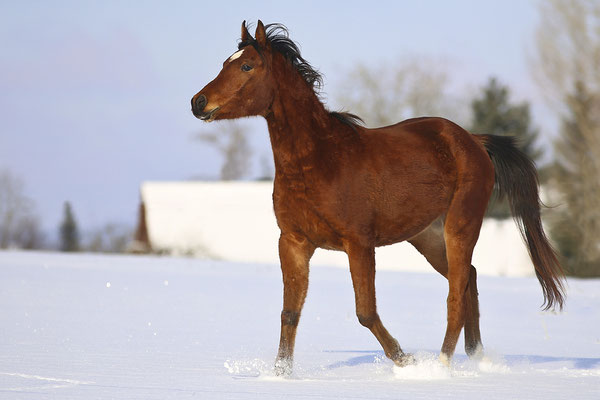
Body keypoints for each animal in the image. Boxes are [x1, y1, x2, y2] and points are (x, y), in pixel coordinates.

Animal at [190, 20, 564, 374]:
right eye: (226, 63)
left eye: (247, 66)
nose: (198, 102)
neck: (319, 161)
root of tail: (473, 140)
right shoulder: (293, 242)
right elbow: (290, 312)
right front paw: (280, 375)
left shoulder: (359, 243)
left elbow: (365, 312)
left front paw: (405, 360)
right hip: (427, 237)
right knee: (468, 279)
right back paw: (477, 358)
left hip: (461, 225)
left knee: (456, 294)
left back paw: (440, 366)